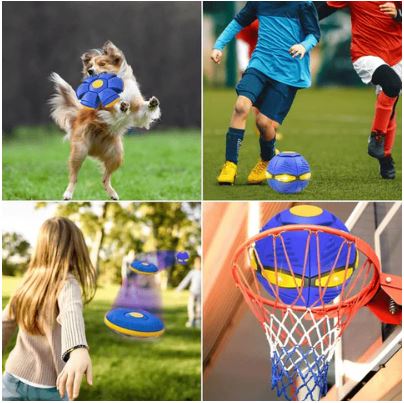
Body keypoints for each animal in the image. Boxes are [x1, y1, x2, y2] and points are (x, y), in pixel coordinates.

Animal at [49, 40, 159, 201]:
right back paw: (67, 194)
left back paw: (113, 194)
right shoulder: (102, 108)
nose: (90, 71)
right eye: (90, 66)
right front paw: (121, 106)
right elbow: (113, 107)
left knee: (105, 178)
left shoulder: (137, 110)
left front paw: (152, 103)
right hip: (80, 150)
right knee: (74, 176)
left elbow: (142, 109)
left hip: (116, 155)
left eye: (102, 64)